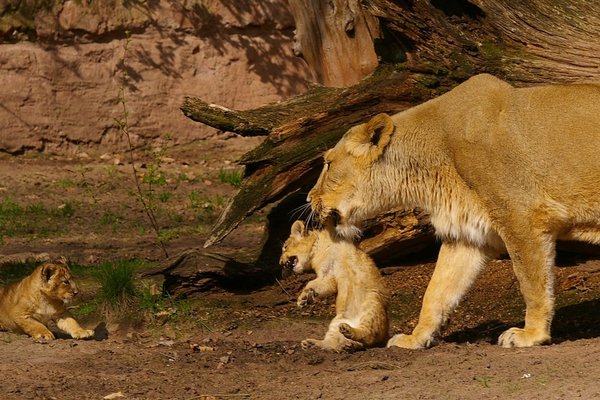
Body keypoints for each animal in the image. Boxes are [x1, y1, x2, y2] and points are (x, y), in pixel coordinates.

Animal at [308, 73, 600, 348]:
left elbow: (531, 283)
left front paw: (531, 335)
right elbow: (436, 292)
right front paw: (415, 339)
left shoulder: (521, 216)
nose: (310, 198)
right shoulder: (466, 235)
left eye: (328, 164)